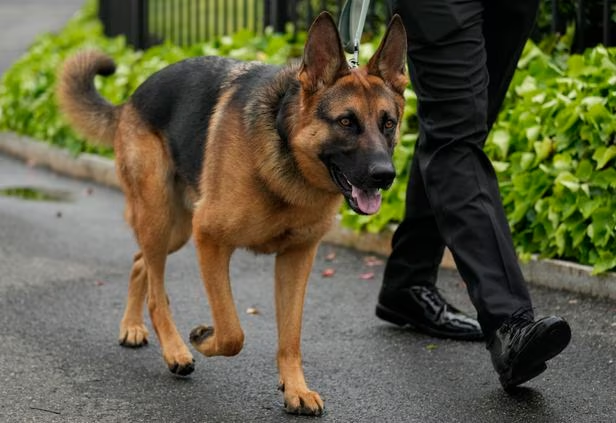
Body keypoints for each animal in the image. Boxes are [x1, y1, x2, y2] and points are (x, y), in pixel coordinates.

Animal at [55, 12, 406, 414]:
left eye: (389, 123)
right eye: (346, 121)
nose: (386, 176)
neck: (286, 149)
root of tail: (132, 97)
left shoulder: (296, 258)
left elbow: (290, 336)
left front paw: (295, 388)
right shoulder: (210, 239)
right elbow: (232, 332)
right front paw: (203, 338)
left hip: (176, 230)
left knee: (139, 261)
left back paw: (132, 326)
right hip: (163, 220)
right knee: (157, 294)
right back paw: (175, 350)